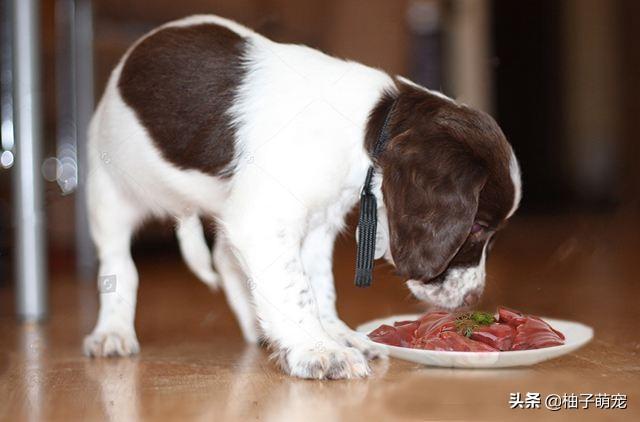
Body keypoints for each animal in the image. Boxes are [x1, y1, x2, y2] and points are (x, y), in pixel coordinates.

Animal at [84, 15, 520, 380]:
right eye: (477, 228)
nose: (473, 298)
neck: (364, 129)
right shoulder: (265, 221)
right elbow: (295, 290)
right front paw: (319, 351)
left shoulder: (315, 224)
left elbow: (317, 287)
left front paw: (334, 334)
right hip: (110, 191)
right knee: (120, 266)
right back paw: (112, 332)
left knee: (225, 256)